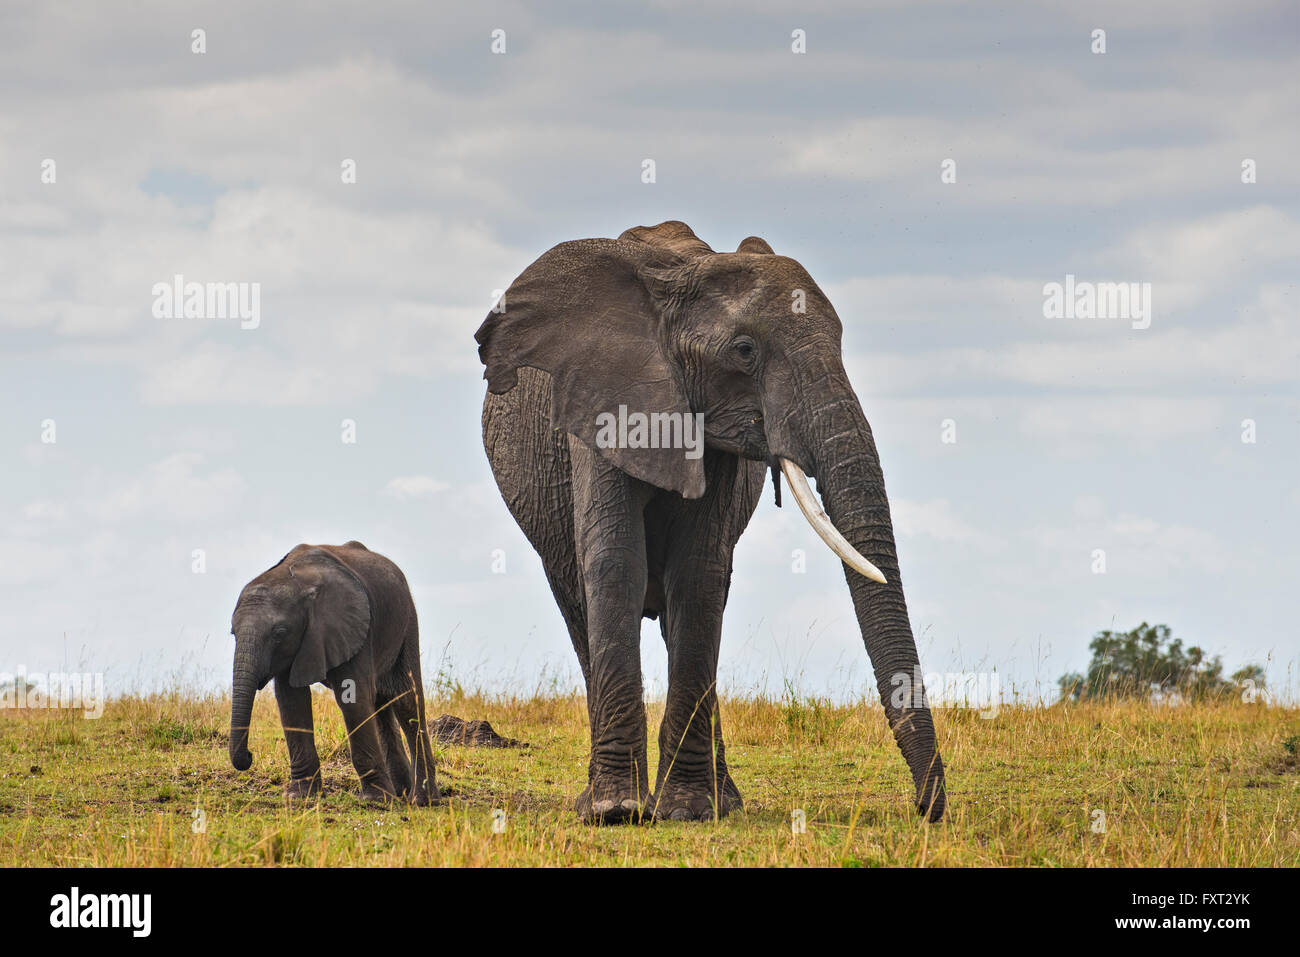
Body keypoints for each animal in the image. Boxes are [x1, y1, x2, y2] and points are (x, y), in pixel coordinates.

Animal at [228, 541, 438, 805]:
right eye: (233, 633)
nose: (249, 755)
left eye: (279, 633)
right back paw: (401, 793)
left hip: (407, 621)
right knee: (380, 702)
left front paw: (374, 801)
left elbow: (353, 699)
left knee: (406, 702)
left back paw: (421, 800)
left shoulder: (349, 624)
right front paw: (299, 796)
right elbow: (292, 702)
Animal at [475, 220, 946, 823]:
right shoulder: (599, 404)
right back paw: (602, 799)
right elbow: (614, 564)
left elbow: (697, 575)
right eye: (744, 352)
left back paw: (723, 801)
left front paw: (689, 811)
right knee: (579, 605)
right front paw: (617, 811)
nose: (927, 807)